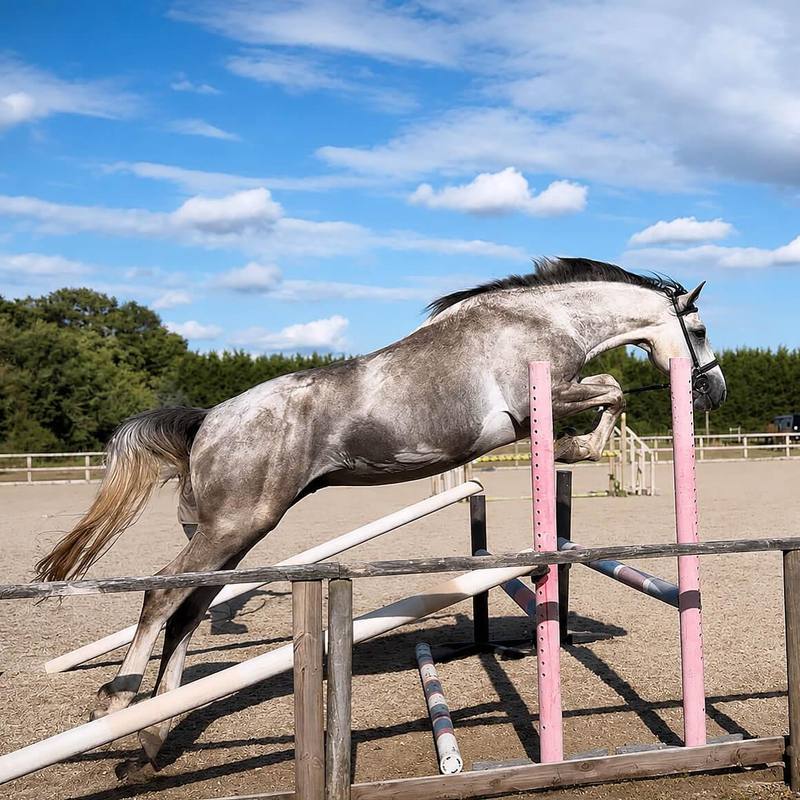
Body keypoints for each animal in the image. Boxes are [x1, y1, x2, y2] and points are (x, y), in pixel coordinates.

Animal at [35, 257, 726, 775]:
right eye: (699, 330)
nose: (713, 392)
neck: (541, 319)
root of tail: (209, 420)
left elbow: (607, 396)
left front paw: (578, 448)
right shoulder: (539, 397)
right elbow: (611, 388)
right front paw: (582, 445)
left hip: (233, 534)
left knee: (183, 614)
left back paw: (152, 737)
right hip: (233, 527)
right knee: (159, 597)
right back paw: (114, 707)